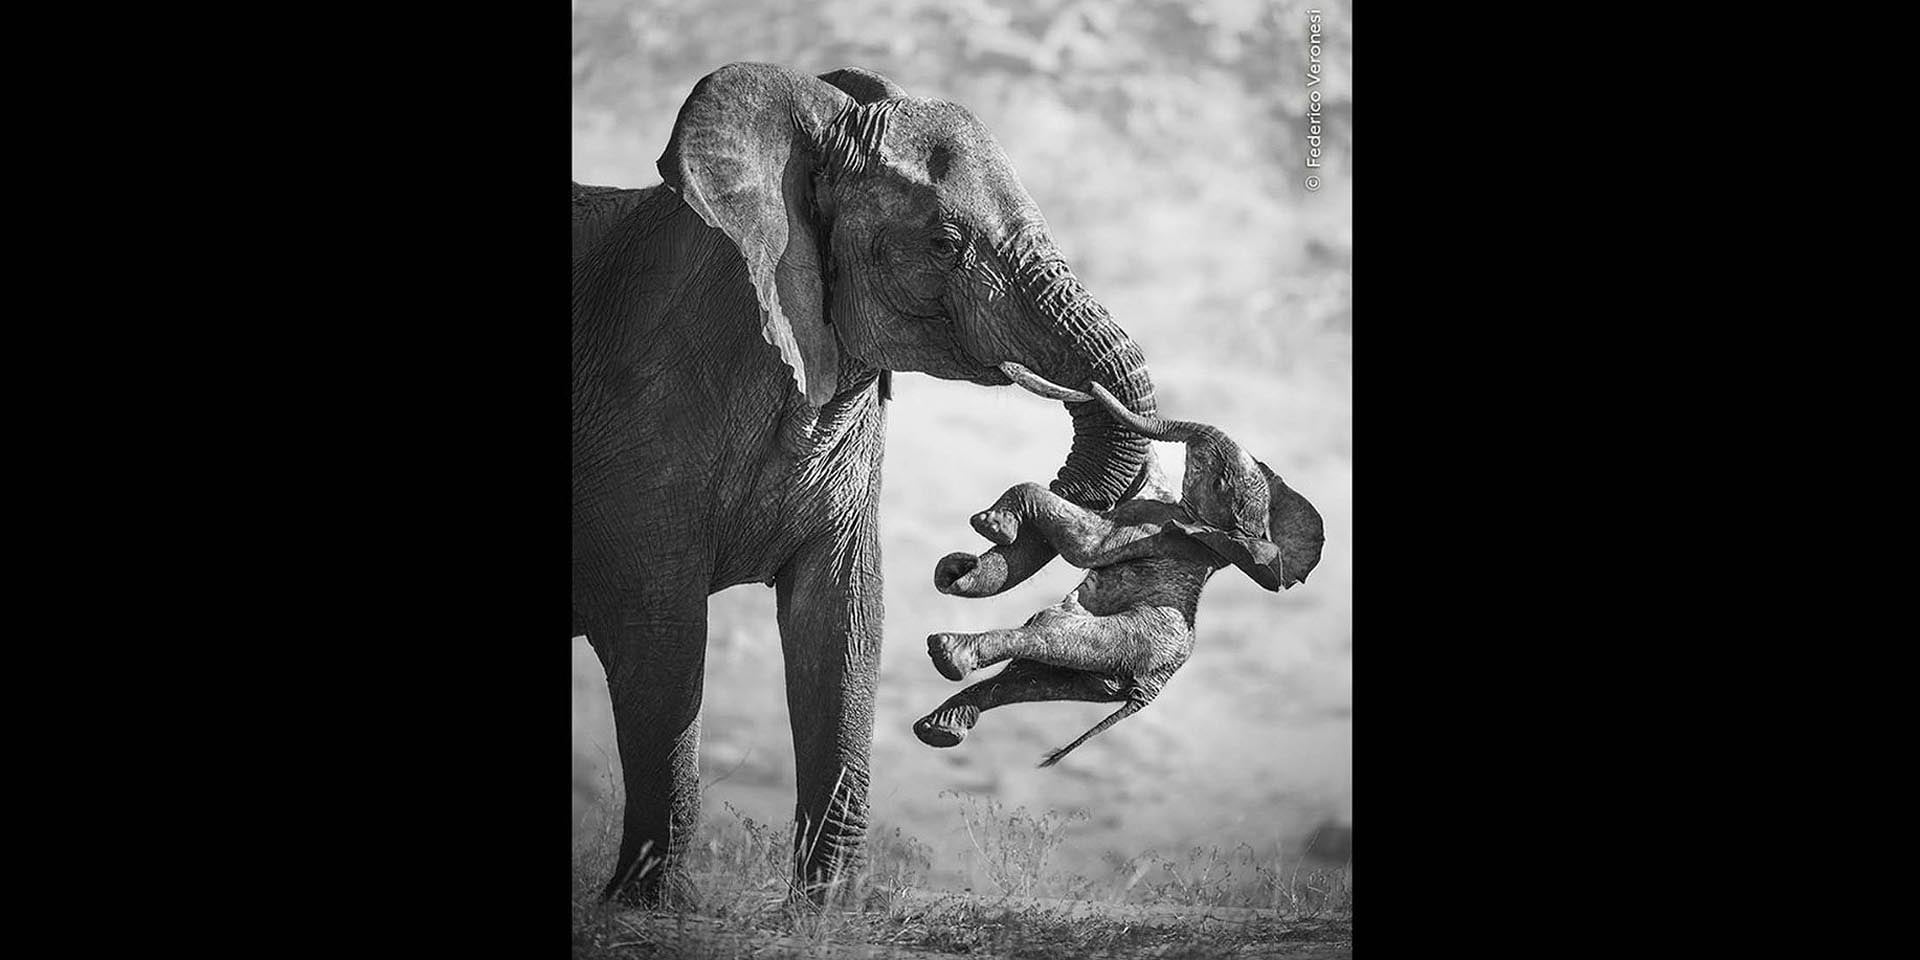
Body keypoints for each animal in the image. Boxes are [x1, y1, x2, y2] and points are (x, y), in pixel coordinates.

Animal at [572, 63, 1163, 905]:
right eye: (945, 244)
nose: (966, 551)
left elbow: (844, 622)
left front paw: (828, 912)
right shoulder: (639, 420)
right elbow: (662, 639)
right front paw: (649, 909)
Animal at [917, 371, 1325, 765]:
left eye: (1219, 480)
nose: (1089, 385)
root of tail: (1148, 690)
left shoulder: (1153, 528)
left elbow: (1084, 546)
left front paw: (991, 526)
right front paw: (956, 568)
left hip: (1127, 640)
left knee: (1048, 634)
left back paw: (948, 655)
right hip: (1103, 672)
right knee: (1029, 677)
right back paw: (940, 727)